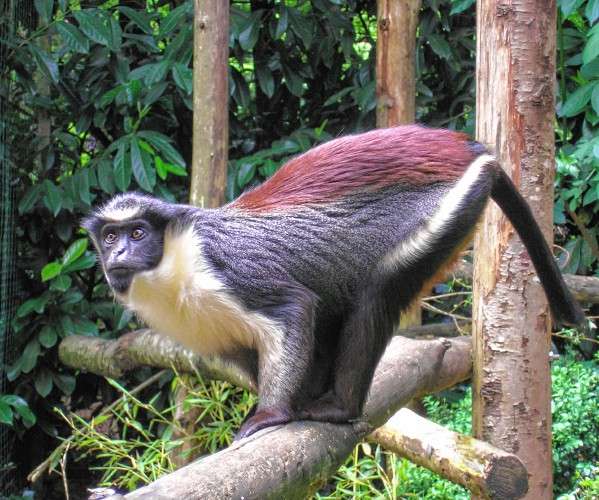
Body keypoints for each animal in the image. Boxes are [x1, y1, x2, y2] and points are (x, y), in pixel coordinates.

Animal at [82, 125, 588, 438]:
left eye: (137, 233)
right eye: (110, 237)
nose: (120, 254)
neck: (172, 266)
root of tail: (467, 148)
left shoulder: (226, 270)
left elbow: (294, 307)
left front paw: (271, 413)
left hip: (448, 208)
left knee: (376, 294)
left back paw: (341, 406)